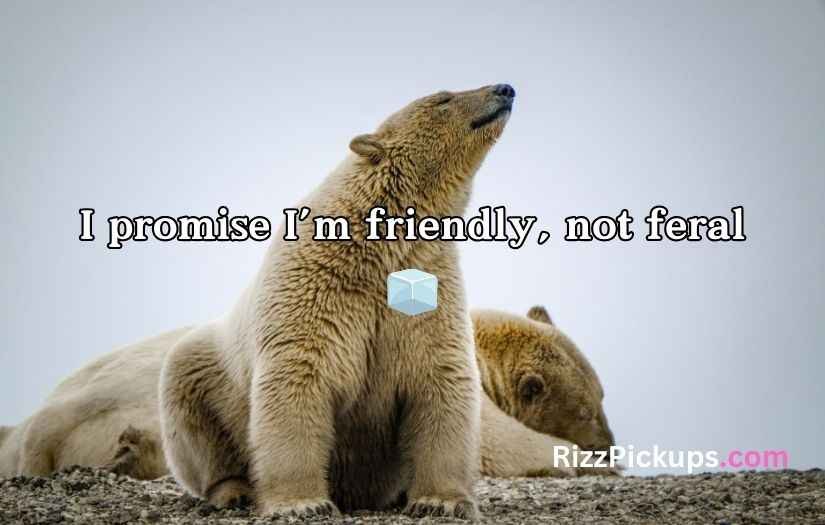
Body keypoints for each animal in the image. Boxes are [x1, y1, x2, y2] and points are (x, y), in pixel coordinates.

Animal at [155, 84, 519, 518]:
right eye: (442, 99)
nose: (505, 89)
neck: (375, 245)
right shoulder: (315, 289)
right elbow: (299, 377)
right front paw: (302, 504)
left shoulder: (431, 284)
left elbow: (440, 377)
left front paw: (441, 502)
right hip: (205, 371)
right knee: (195, 416)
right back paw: (234, 490)